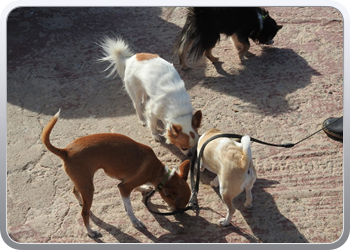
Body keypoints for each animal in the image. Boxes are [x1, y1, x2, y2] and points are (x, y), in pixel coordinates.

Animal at [41, 110, 191, 237]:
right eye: (178, 206)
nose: (182, 216)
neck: (159, 172)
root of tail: (65, 151)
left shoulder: (125, 181)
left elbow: (135, 190)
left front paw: (143, 189)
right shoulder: (124, 187)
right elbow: (129, 208)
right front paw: (135, 221)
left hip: (82, 181)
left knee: (75, 191)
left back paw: (80, 202)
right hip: (89, 188)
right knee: (84, 213)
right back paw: (90, 231)